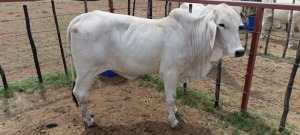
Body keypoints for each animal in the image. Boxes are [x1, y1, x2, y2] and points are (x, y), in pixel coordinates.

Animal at [67, 3, 244, 129]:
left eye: (239, 26)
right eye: (221, 24)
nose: (240, 51)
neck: (191, 35)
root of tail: (81, 18)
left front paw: (175, 112)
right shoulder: (170, 72)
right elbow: (171, 97)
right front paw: (173, 121)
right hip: (86, 71)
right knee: (80, 93)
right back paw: (88, 120)